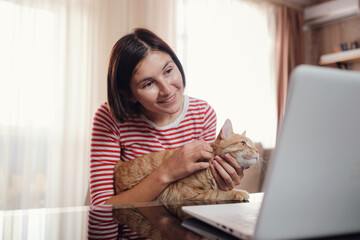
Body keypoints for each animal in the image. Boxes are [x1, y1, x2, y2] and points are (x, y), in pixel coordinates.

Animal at [114, 119, 258, 202]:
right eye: (243, 143)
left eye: (253, 145)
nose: (257, 151)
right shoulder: (186, 194)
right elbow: (218, 193)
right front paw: (238, 192)